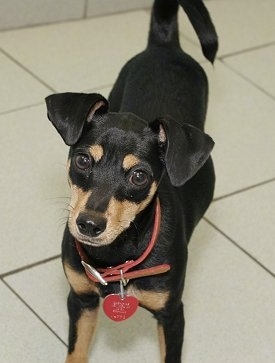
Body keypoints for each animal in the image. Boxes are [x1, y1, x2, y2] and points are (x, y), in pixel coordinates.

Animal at [44, 0, 218, 362]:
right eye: (83, 160)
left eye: (139, 176)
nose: (89, 224)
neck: (116, 257)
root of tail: (165, 45)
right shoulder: (80, 300)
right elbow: (76, 352)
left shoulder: (172, 315)